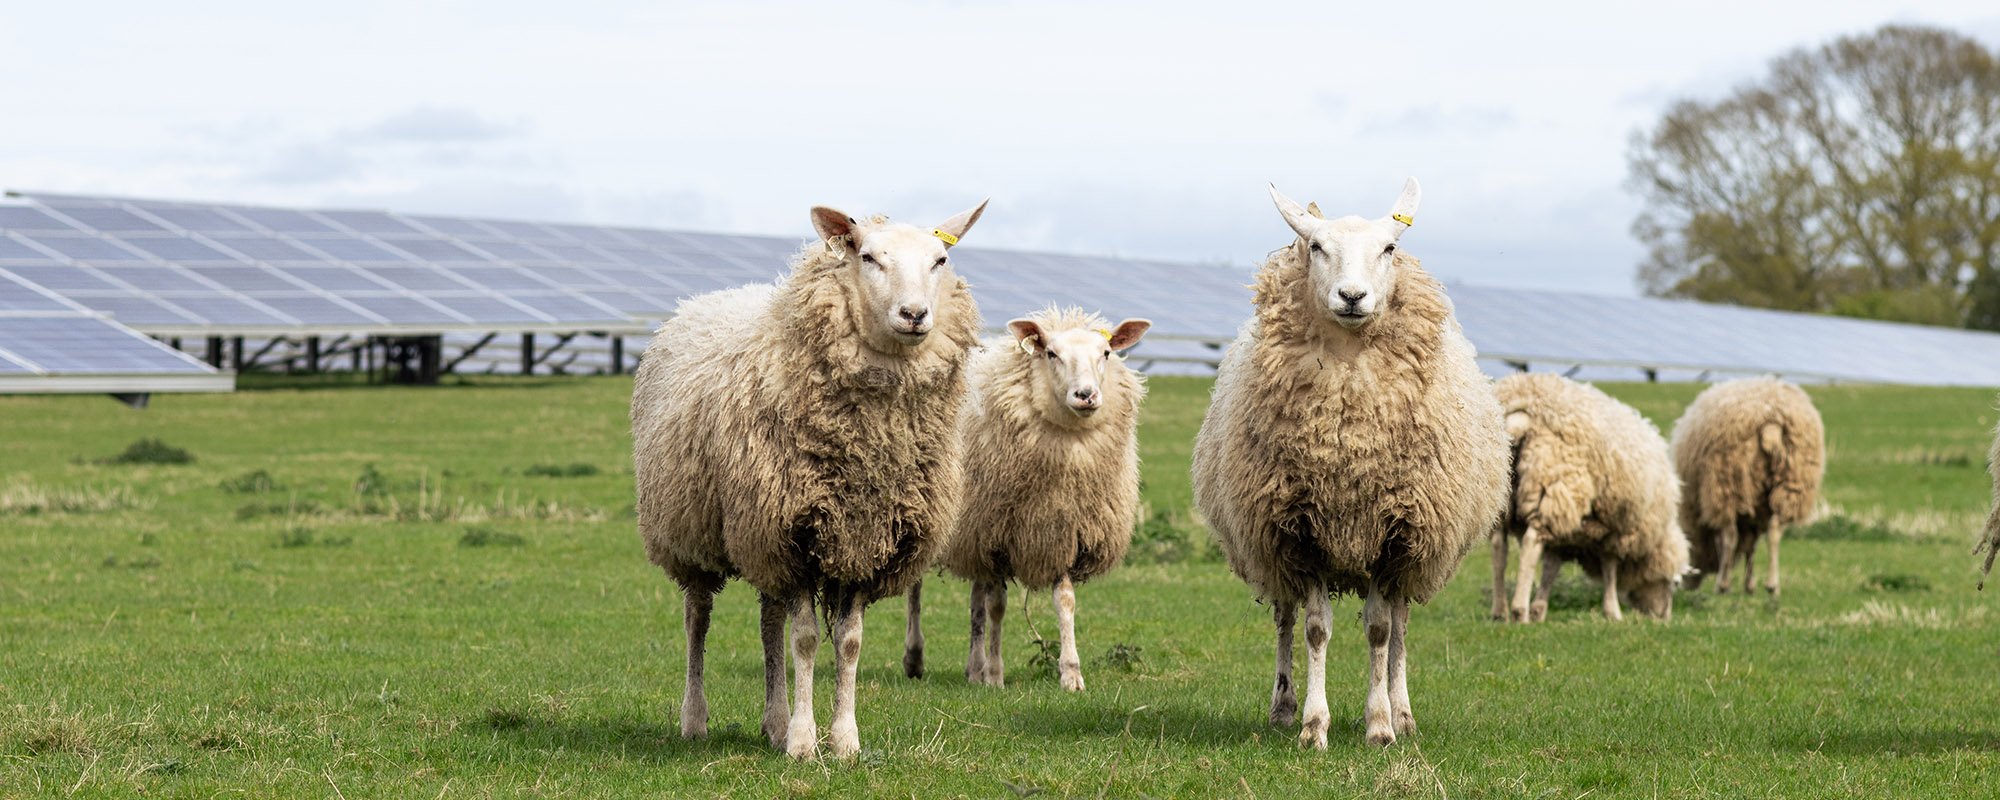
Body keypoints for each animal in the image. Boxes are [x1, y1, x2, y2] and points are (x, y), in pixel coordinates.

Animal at [633, 200, 988, 760]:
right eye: (867, 256)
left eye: (941, 260)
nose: (914, 315)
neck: (870, 448)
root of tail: (702, 301)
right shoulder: (794, 534)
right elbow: (804, 640)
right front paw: (803, 742)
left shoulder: (864, 540)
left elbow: (848, 642)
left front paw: (843, 740)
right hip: (694, 531)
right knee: (697, 619)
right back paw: (696, 719)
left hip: (760, 537)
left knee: (768, 624)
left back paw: (774, 721)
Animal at [900, 306, 1152, 691]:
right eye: (1051, 353)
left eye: (1106, 353)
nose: (1086, 395)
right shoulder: (996, 537)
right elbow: (998, 606)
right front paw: (995, 674)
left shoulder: (1062, 532)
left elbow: (1065, 602)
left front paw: (1071, 674)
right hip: (933, 509)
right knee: (916, 587)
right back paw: (916, 658)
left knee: (975, 601)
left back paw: (973, 667)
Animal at [1191, 179, 1509, 749]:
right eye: (1317, 247)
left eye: (1389, 249)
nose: (1353, 297)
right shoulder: (1300, 529)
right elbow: (1315, 628)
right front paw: (1314, 725)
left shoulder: (1396, 530)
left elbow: (1381, 630)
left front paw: (1380, 724)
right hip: (1272, 546)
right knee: (1285, 617)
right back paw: (1283, 706)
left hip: (1413, 552)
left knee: (1400, 624)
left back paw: (1403, 714)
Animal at [1488, 373, 1691, 623]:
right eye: (1674, 583)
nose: (1664, 617)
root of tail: (1523, 409)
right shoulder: (1616, 528)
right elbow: (1610, 568)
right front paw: (1613, 611)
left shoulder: (1570, 535)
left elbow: (1551, 568)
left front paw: (1539, 609)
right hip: (1555, 484)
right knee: (1530, 545)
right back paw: (1519, 611)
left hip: (1506, 497)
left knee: (1499, 547)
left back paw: (1500, 611)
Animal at [1669, 376, 1825, 599]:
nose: (1683, 586)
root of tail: (1771, 425)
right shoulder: (1756, 511)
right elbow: (1752, 545)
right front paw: (1749, 586)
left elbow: (1729, 542)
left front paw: (1729, 583)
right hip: (1791, 484)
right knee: (1775, 532)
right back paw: (1772, 585)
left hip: (1727, 483)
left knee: (1730, 536)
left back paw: (1723, 585)